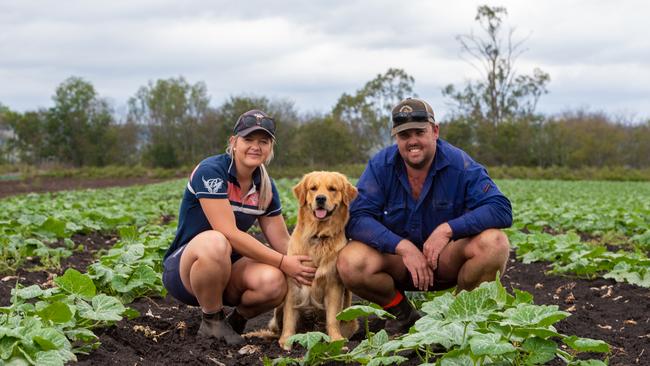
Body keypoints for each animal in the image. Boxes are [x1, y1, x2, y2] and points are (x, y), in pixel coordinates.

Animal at [270, 173, 356, 350]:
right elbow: (289, 316)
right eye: (313, 188)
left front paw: (336, 340)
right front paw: (286, 340)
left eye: (332, 189)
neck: (318, 235)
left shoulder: (333, 285)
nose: (320, 198)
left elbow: (332, 318)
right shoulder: (293, 284)